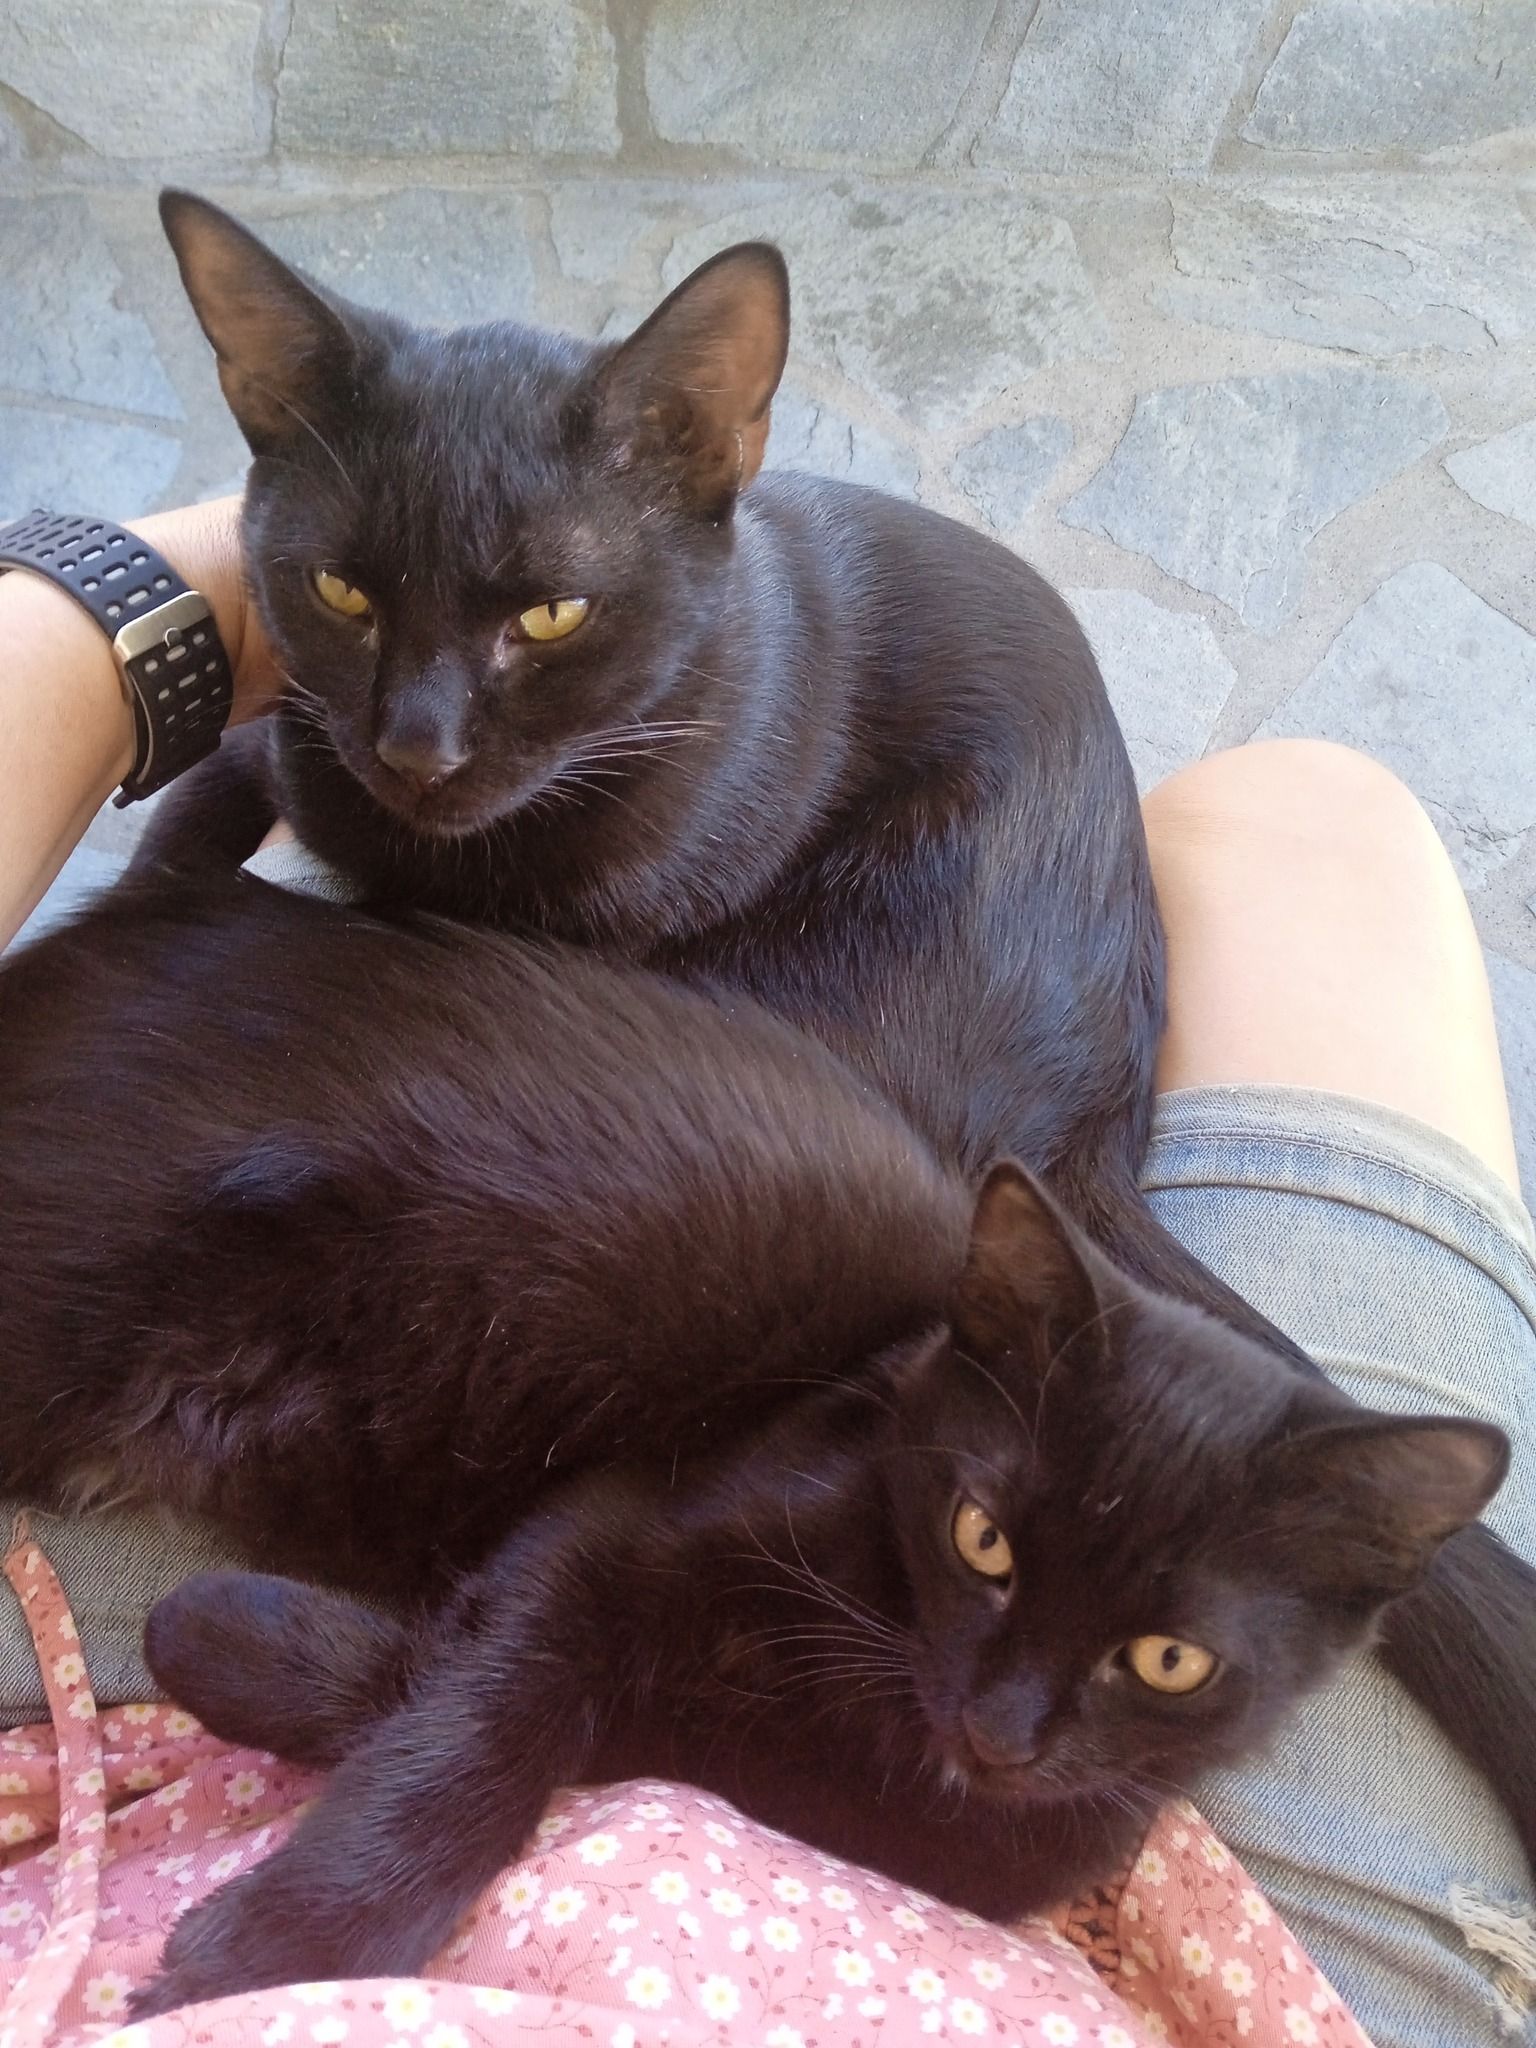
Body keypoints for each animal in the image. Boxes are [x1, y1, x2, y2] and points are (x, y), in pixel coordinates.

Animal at [126, 1158, 1503, 2014]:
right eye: (982, 1537)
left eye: (1170, 1659)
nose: (1001, 1730)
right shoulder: (613, 1519)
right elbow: (492, 1702)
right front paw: (287, 1938)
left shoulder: (1032, 1838)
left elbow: (594, 1716)